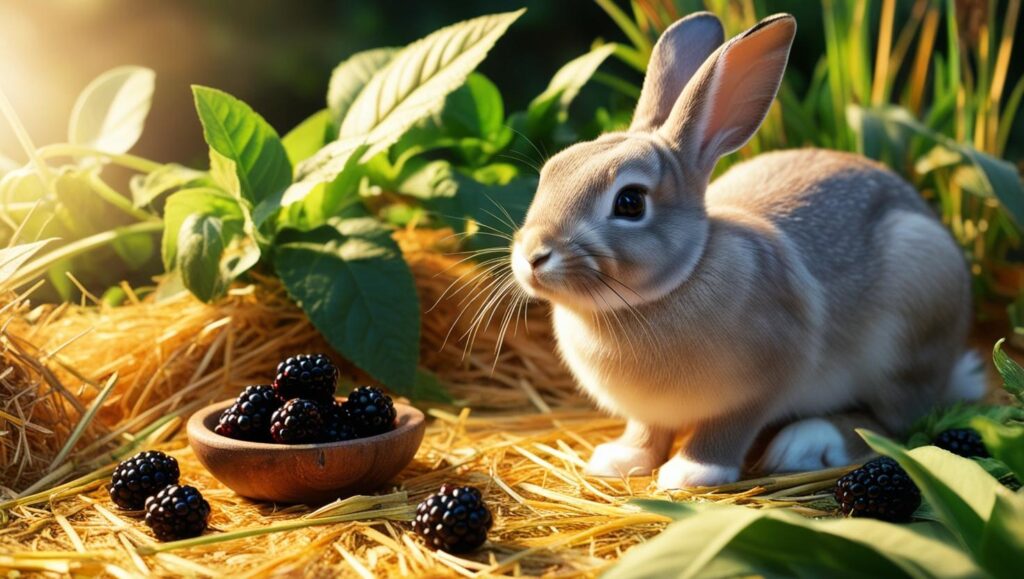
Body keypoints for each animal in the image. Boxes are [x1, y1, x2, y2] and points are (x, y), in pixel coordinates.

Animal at [507, 12, 978, 487]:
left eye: (630, 202)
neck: (675, 283)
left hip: (909, 326)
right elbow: (646, 431)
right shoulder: (649, 413)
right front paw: (619, 460)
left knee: (891, 423)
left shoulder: (759, 387)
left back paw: (807, 443)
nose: (533, 257)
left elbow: (727, 430)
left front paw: (690, 472)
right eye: (551, 172)